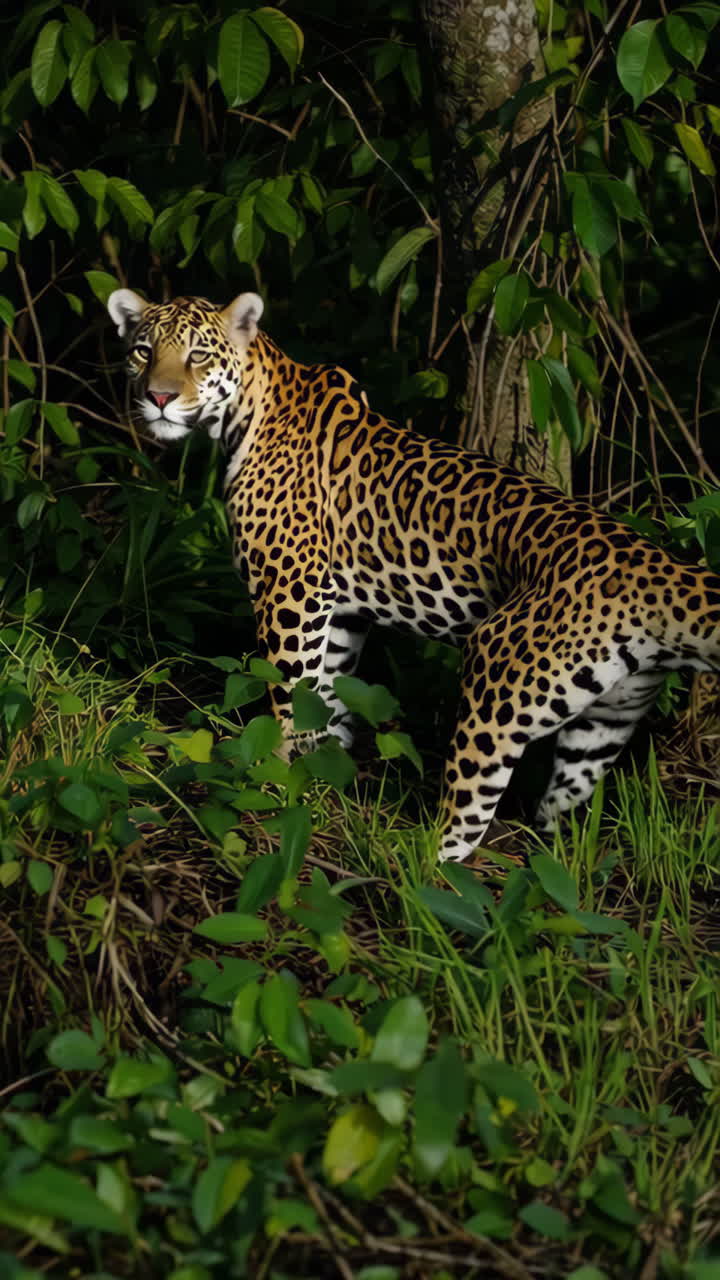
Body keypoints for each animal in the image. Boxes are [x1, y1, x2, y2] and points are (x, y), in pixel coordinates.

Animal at [108, 287, 720, 863]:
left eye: (199, 355)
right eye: (142, 351)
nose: (159, 397)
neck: (244, 415)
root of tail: (659, 566)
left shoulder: (293, 589)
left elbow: (287, 692)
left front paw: (274, 777)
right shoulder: (340, 609)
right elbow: (327, 694)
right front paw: (323, 772)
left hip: (500, 685)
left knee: (463, 820)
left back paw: (419, 865)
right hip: (608, 718)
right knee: (564, 803)